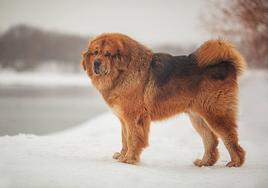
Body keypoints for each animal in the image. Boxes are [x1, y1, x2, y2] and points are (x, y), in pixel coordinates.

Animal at [80, 33, 246, 167]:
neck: (122, 72)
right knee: (211, 140)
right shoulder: (123, 119)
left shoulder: (134, 117)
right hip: (197, 117)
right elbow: (124, 138)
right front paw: (122, 155)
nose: (96, 63)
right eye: (95, 53)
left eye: (108, 54)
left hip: (216, 114)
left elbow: (132, 138)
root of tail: (226, 64)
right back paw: (204, 162)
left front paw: (129, 159)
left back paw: (236, 162)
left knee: (230, 138)